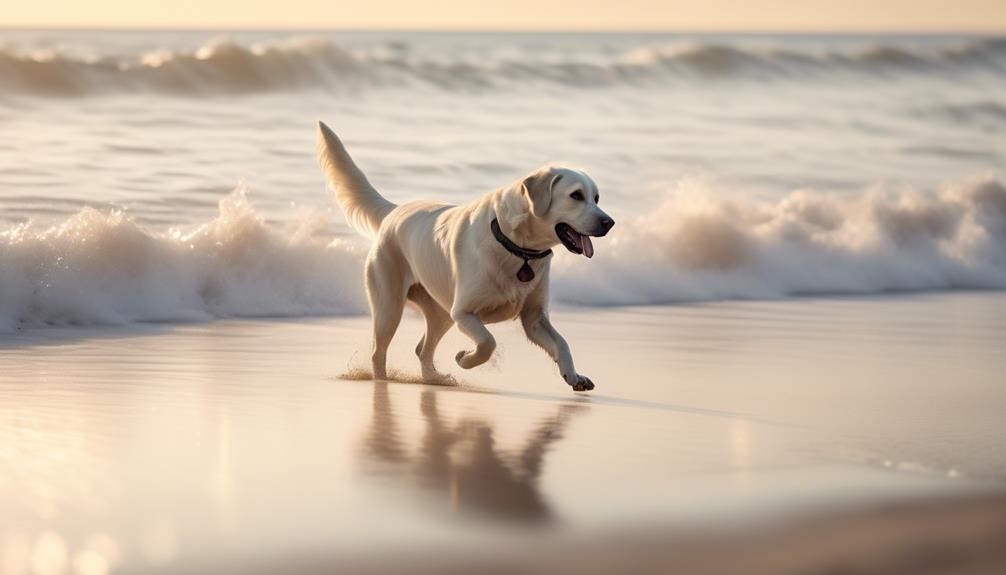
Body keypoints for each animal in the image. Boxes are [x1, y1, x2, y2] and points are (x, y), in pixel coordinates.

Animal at [317, 121, 611, 390]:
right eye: (576, 195)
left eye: (596, 197)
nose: (609, 222)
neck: (518, 248)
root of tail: (394, 211)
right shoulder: (464, 312)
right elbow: (488, 342)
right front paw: (465, 359)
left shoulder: (534, 317)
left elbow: (562, 343)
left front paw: (573, 375)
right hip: (390, 306)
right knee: (379, 351)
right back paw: (384, 381)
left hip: (440, 310)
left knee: (422, 349)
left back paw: (433, 379)